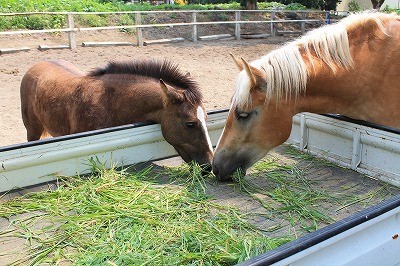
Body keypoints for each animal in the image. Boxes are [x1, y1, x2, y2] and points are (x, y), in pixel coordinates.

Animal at [21, 59, 216, 165]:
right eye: (190, 123)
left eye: (206, 118)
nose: (209, 164)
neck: (109, 103)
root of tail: (35, 67)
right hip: (32, 131)